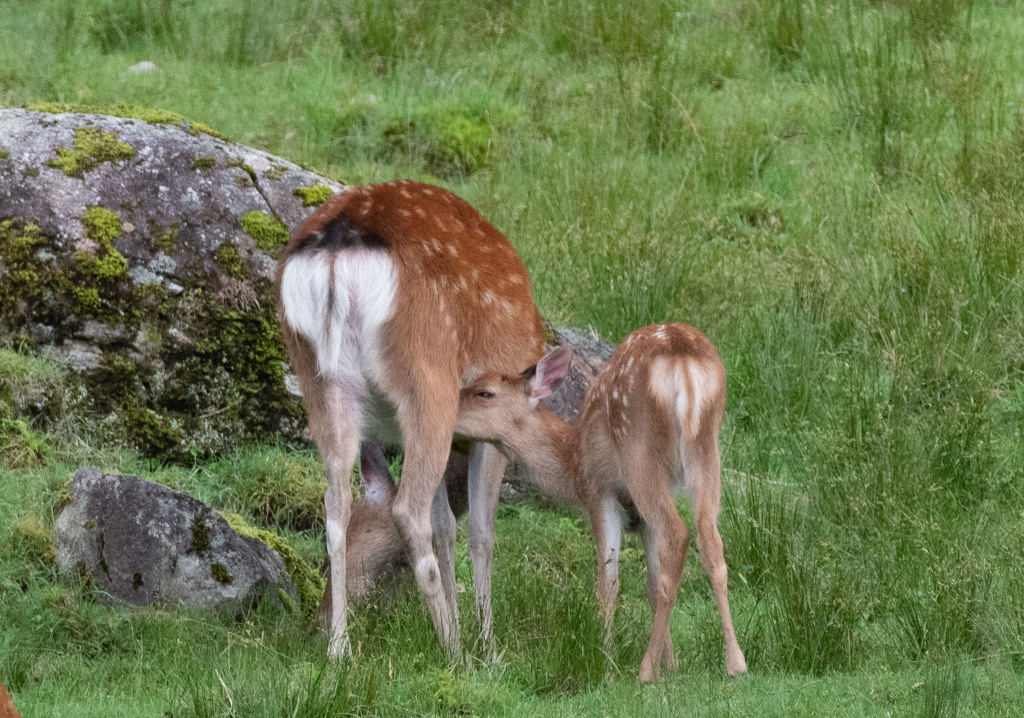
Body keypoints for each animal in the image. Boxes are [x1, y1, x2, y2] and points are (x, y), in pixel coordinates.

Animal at [272, 179, 544, 655]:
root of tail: (339, 245)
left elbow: (446, 526)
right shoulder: (494, 428)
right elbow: (479, 532)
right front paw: (487, 644)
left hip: (318, 380)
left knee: (336, 504)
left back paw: (340, 647)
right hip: (427, 377)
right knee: (409, 512)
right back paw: (453, 650)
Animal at [454, 323, 745, 676]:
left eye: (485, 393)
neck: (572, 460)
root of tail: (682, 356)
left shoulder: (599, 491)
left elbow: (608, 581)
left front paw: (606, 660)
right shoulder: (637, 515)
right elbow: (652, 582)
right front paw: (671, 665)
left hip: (637, 448)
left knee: (677, 534)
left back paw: (645, 672)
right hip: (707, 447)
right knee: (710, 541)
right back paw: (736, 662)